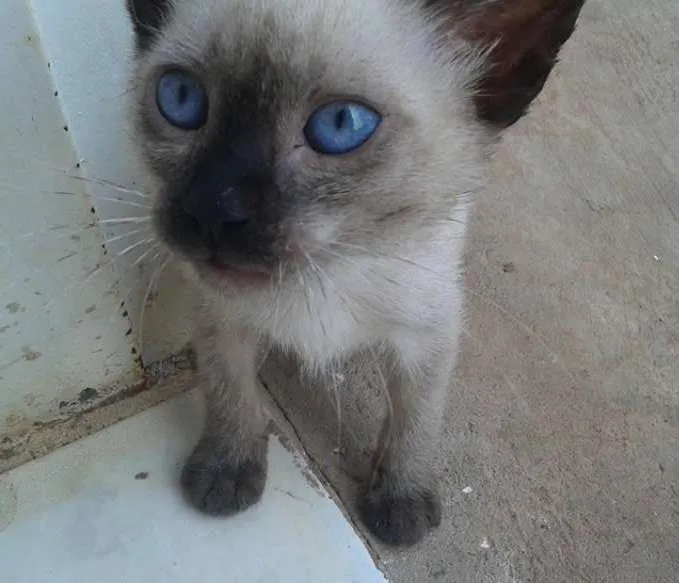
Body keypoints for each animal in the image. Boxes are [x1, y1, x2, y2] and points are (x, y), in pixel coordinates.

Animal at [126, 0, 584, 548]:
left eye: (341, 125)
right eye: (181, 98)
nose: (214, 210)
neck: (324, 276)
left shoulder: (428, 334)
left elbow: (417, 419)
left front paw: (401, 498)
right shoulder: (219, 318)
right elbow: (230, 394)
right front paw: (226, 469)